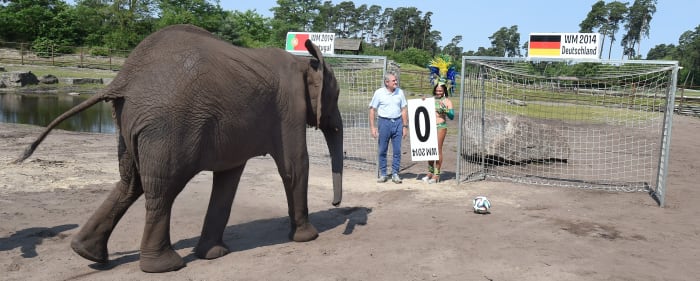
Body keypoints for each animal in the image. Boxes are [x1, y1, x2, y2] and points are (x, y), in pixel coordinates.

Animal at [14, 24, 344, 272]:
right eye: (336, 95)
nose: (336, 204)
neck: (305, 62)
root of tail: (123, 79)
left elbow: (228, 178)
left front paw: (213, 254)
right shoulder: (289, 107)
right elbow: (294, 166)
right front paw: (308, 238)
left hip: (130, 123)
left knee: (130, 183)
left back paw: (87, 254)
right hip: (168, 127)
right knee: (162, 189)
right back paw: (164, 267)